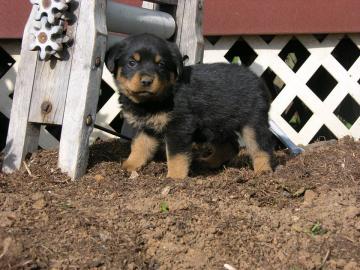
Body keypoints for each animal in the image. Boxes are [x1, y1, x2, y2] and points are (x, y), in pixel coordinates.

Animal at [105, 33, 274, 179]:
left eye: (161, 64)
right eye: (132, 63)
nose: (147, 81)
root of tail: (258, 80)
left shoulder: (179, 126)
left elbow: (176, 155)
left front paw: (174, 177)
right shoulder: (147, 127)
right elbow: (140, 146)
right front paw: (129, 165)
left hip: (252, 122)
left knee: (261, 147)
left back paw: (263, 171)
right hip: (215, 125)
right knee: (230, 145)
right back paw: (208, 162)